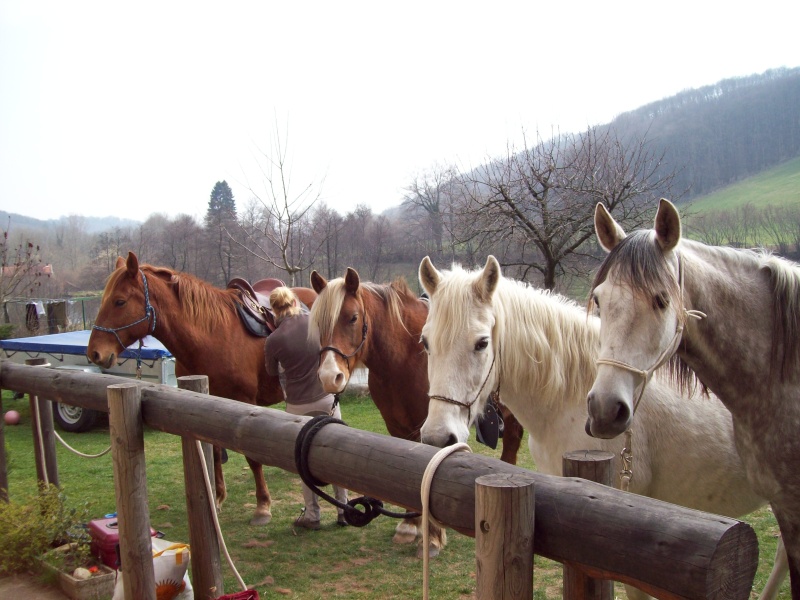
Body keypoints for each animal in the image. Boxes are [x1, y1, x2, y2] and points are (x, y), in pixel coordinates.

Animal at [84, 252, 316, 524]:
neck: (212, 336)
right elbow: (213, 452)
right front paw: (217, 498)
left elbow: (251, 457)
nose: (94, 353)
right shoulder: (207, 405)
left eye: (119, 302)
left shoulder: (245, 404)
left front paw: (262, 506)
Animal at [308, 268, 524, 556]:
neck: (407, 355)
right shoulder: (397, 427)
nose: (330, 377)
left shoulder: (435, 432)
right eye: (318, 322)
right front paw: (410, 526)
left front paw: (432, 536)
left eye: (352, 318)